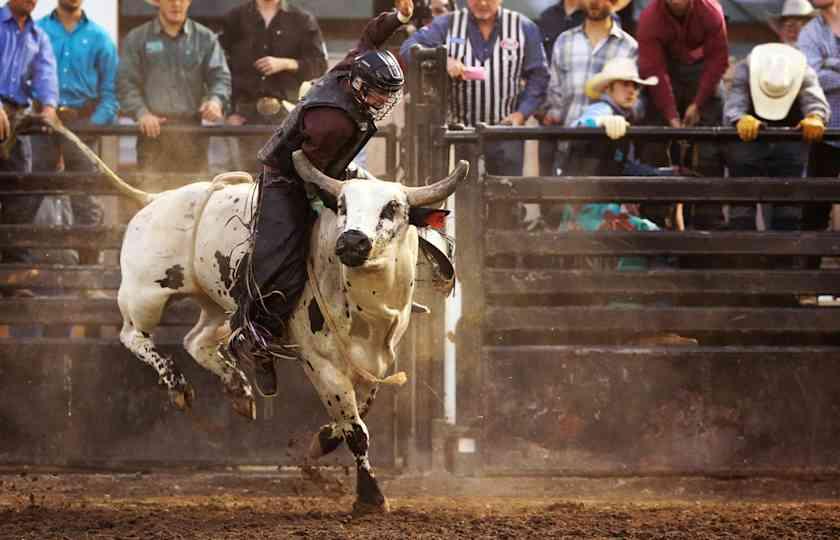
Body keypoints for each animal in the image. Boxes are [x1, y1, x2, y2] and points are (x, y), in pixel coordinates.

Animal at [60, 123, 466, 516]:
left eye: (392, 208)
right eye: (342, 206)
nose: (352, 242)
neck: (369, 310)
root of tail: (154, 200)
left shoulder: (377, 363)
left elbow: (354, 416)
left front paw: (322, 442)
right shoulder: (320, 363)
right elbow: (356, 429)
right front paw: (370, 496)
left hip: (217, 305)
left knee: (197, 340)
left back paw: (239, 390)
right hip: (144, 292)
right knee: (134, 336)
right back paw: (178, 385)